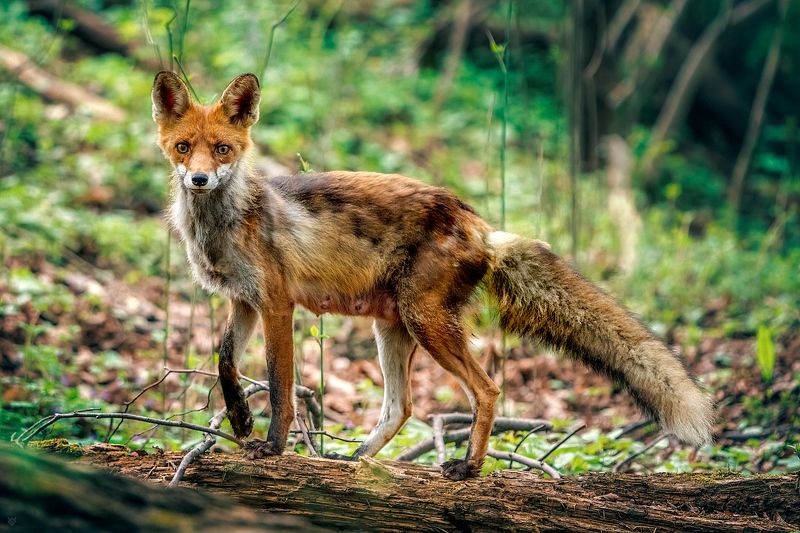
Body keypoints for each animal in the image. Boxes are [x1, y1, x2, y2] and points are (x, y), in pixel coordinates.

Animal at [151, 71, 714, 480]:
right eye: (183, 147)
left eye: (222, 149)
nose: (199, 178)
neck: (224, 225)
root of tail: (478, 224)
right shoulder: (243, 301)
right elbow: (225, 362)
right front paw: (240, 419)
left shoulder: (276, 304)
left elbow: (279, 385)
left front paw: (271, 446)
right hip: (391, 326)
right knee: (402, 407)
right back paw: (357, 460)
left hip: (425, 322)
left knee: (486, 390)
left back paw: (468, 467)